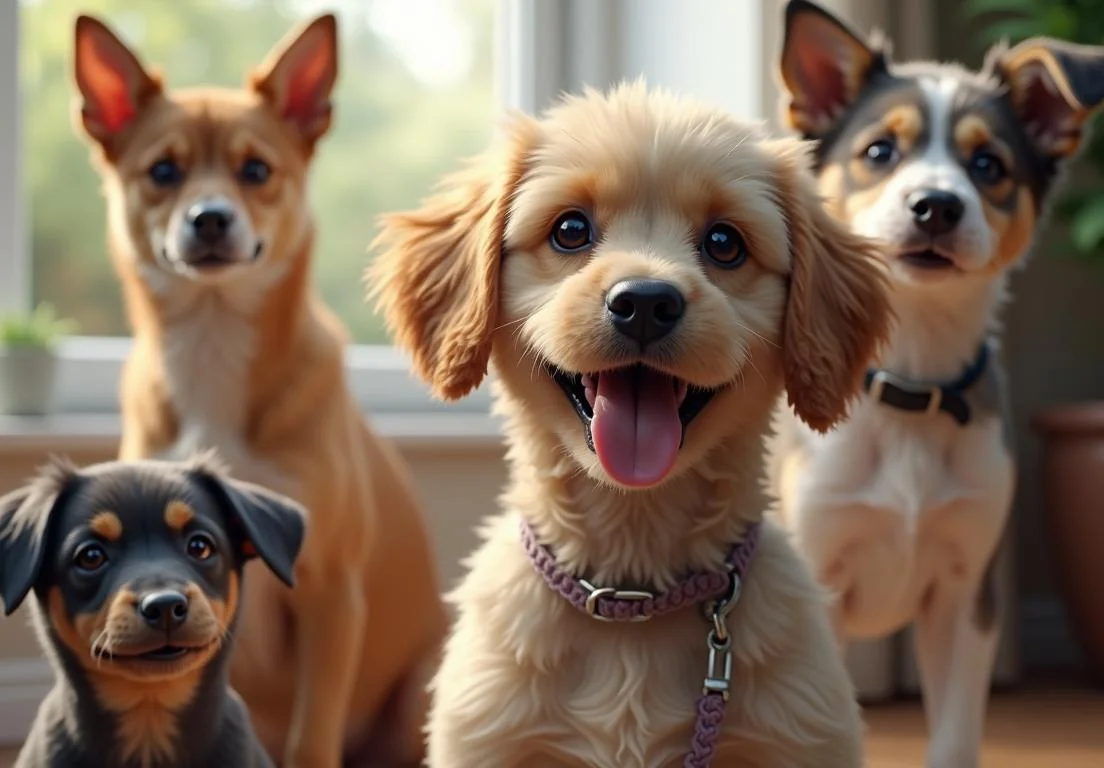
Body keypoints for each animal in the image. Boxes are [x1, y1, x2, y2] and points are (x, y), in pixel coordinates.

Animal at [72, 12, 448, 768]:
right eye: (163, 171)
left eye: (257, 171)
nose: (210, 218)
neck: (213, 340)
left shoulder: (331, 593)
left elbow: (313, 736)